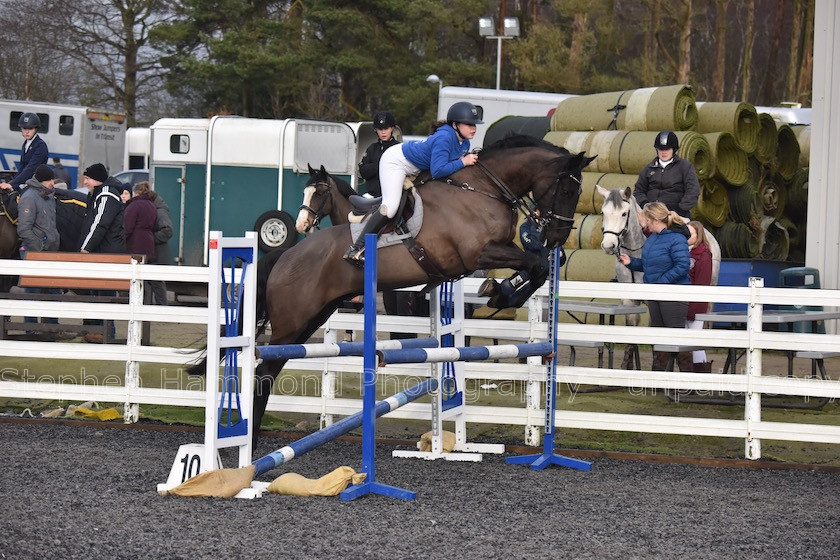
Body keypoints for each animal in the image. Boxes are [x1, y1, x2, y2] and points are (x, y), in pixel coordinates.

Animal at [193, 133, 592, 440]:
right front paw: (501, 291)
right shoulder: (476, 253)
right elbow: (534, 264)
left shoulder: (491, 253)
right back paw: (250, 442)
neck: (482, 189)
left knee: (270, 369)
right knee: (263, 371)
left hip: (311, 320)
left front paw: (502, 290)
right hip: (292, 323)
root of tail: (285, 255)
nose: (558, 237)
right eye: (567, 190)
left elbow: (537, 266)